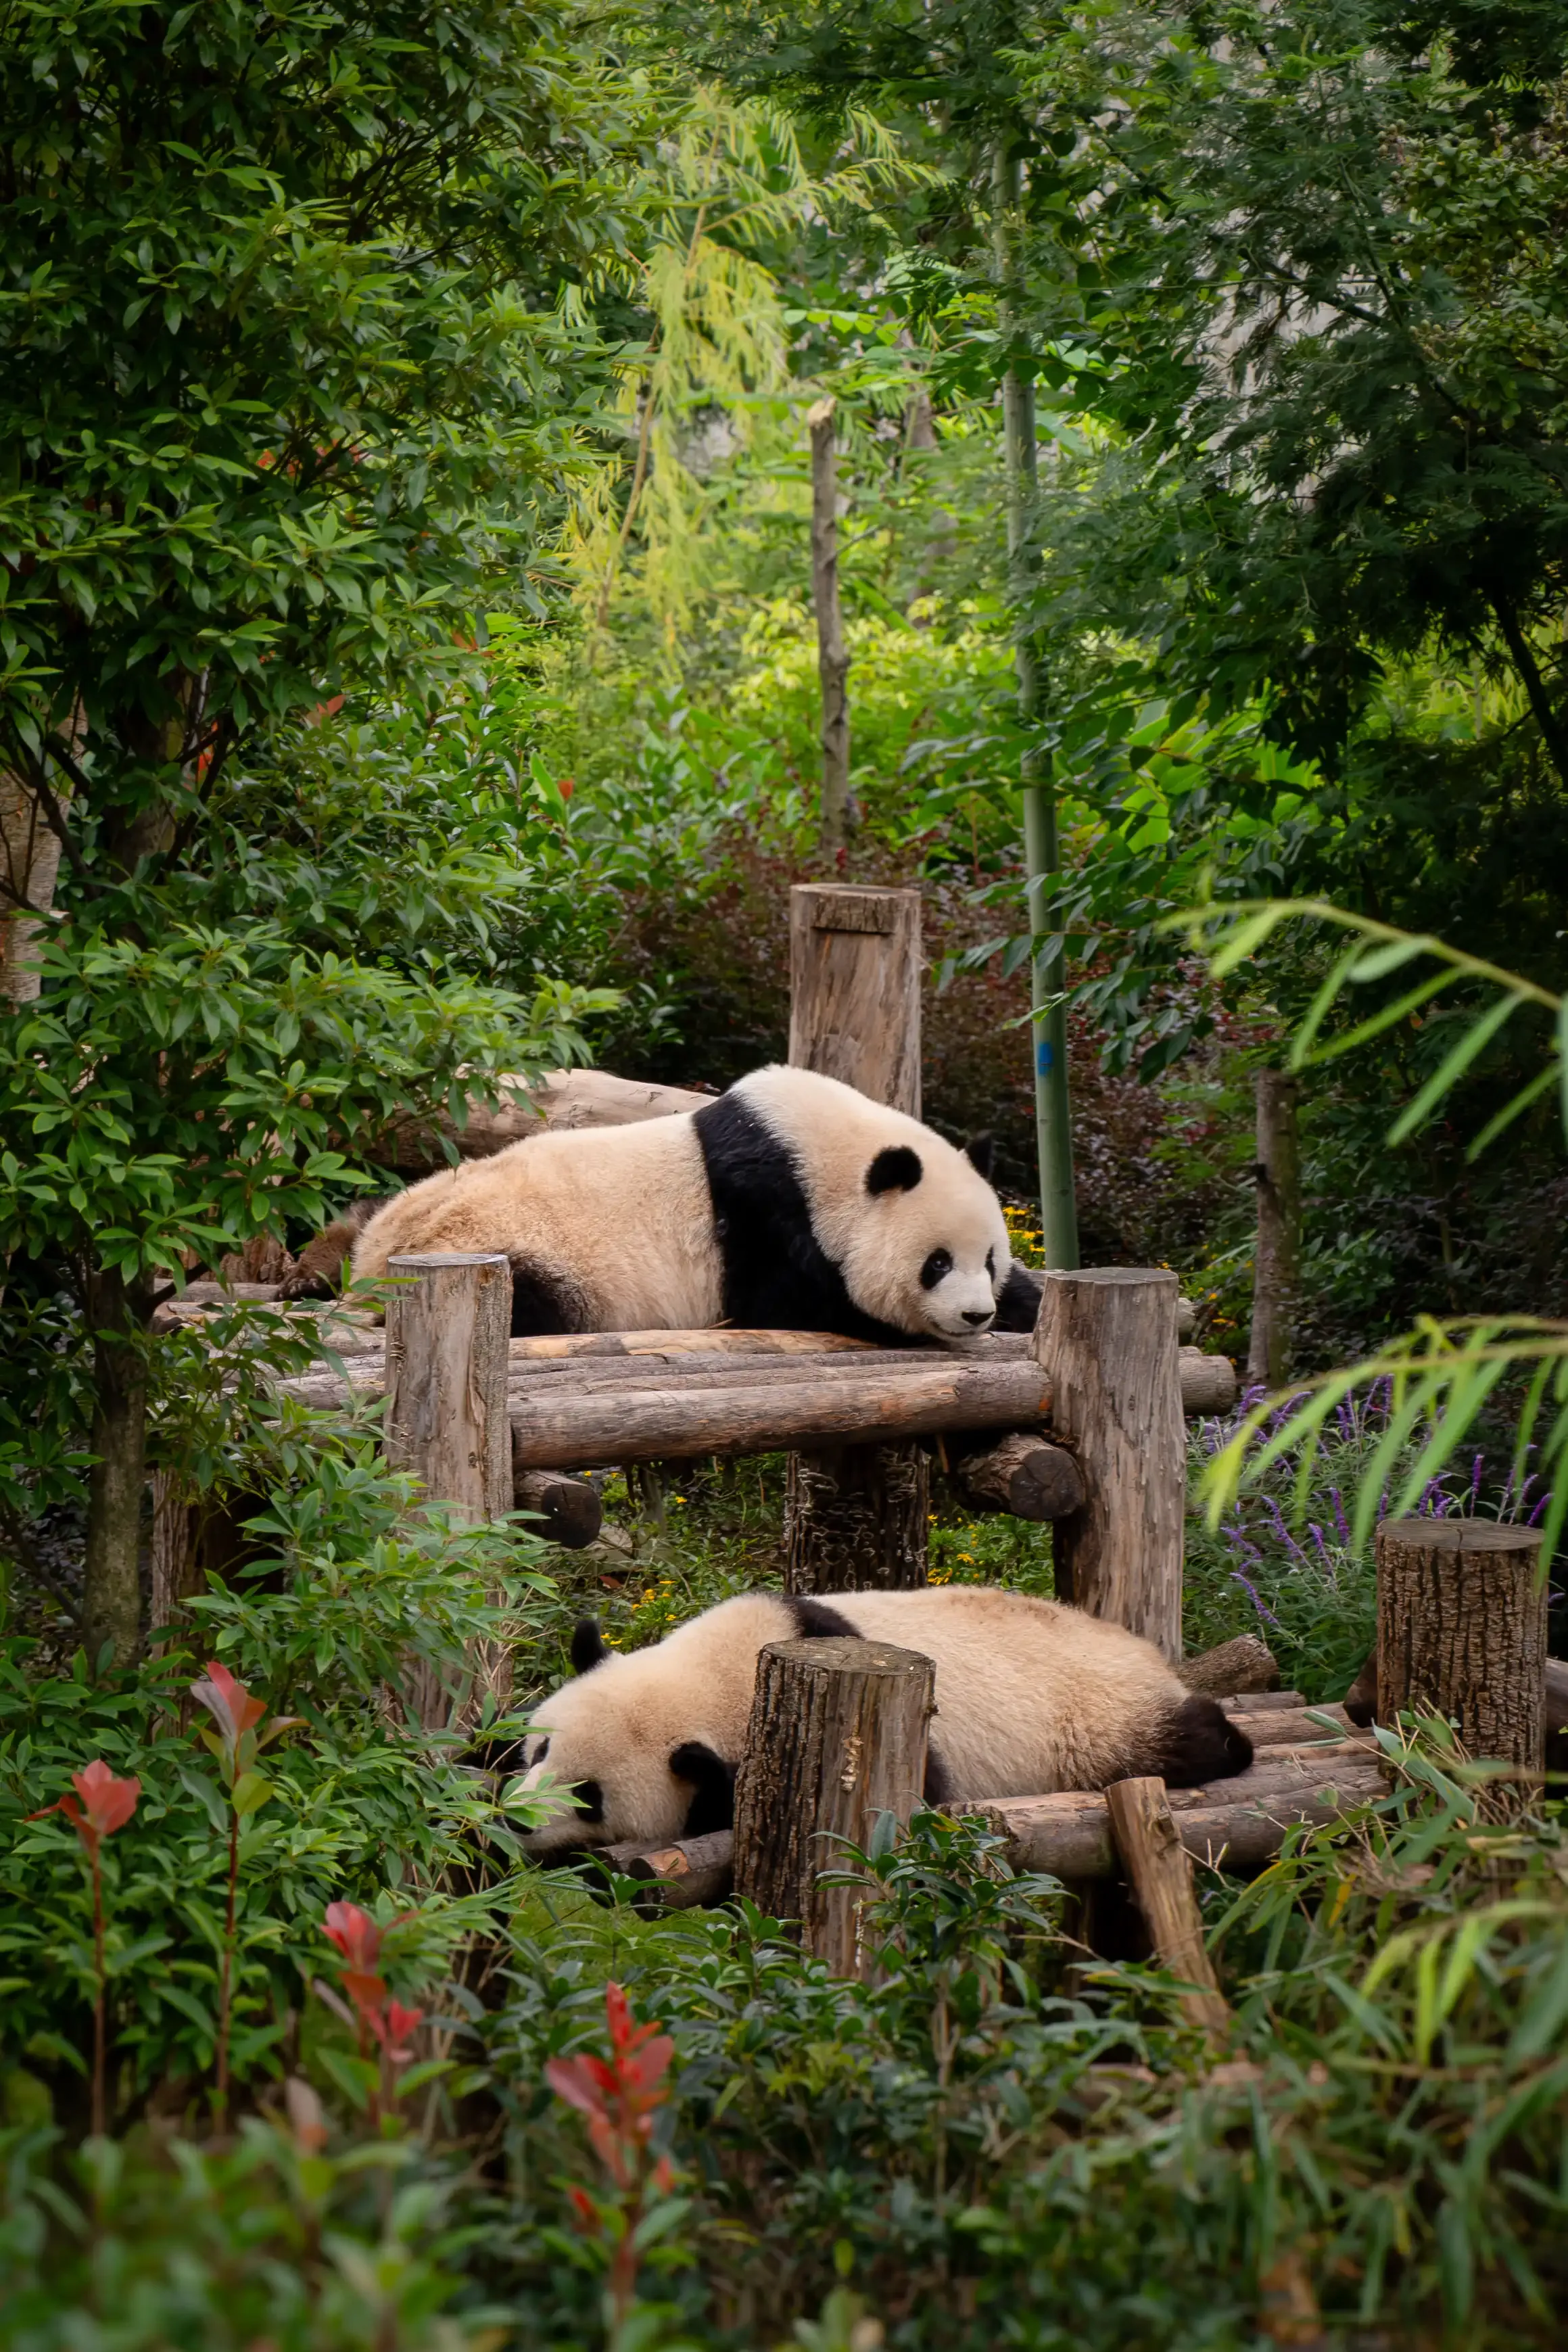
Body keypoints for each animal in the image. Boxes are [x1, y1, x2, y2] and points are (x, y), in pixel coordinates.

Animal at [287, 1064, 1043, 1343]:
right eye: (935, 1263)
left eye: (990, 1259)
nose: (976, 1314)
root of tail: (374, 1269)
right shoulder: (765, 1216)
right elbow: (798, 1301)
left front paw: (1026, 1306)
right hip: (509, 1254)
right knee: (530, 1304)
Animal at [511, 1587, 1254, 1858]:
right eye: (540, 1750)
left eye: (589, 1798)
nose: (515, 1822)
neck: (725, 1673)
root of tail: (1148, 1653)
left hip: (1095, 1717)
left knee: (1176, 1738)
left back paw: (1230, 1739)